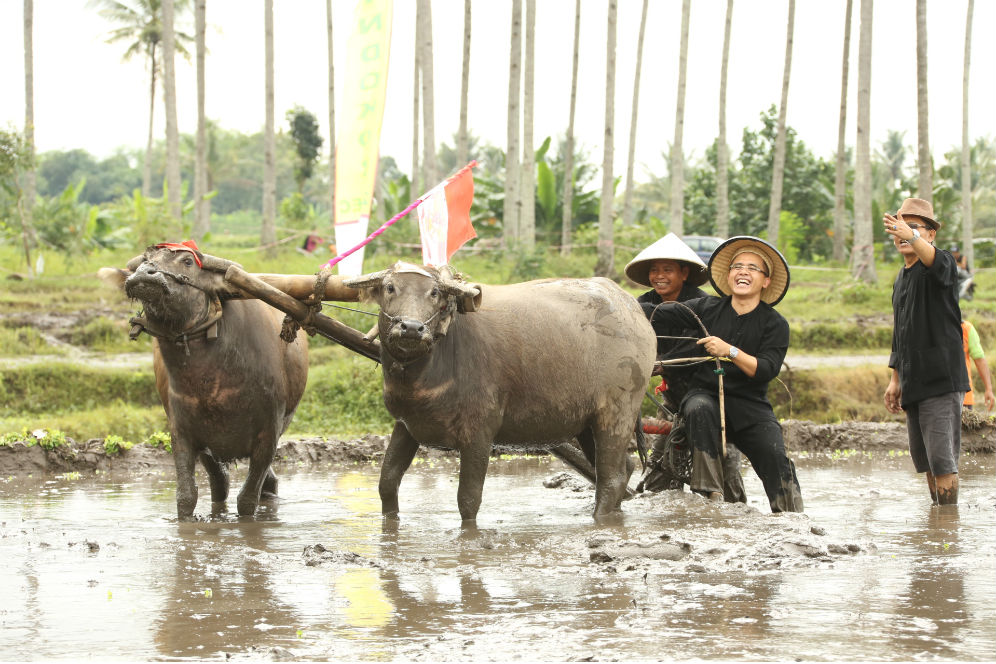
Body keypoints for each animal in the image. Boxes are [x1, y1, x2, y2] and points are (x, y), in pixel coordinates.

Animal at [99, 244, 308, 520]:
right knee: (221, 484)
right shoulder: (182, 432)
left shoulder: (269, 434)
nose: (145, 274)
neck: (210, 382)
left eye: (188, 261)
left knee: (266, 484)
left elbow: (247, 500)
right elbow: (186, 496)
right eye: (145, 259)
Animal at [346, 262, 656, 520]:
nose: (411, 327)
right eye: (390, 288)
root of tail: (633, 309)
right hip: (587, 424)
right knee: (623, 468)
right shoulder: (406, 425)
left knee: (611, 477)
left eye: (434, 292)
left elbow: (468, 499)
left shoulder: (479, 433)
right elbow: (387, 483)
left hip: (617, 413)